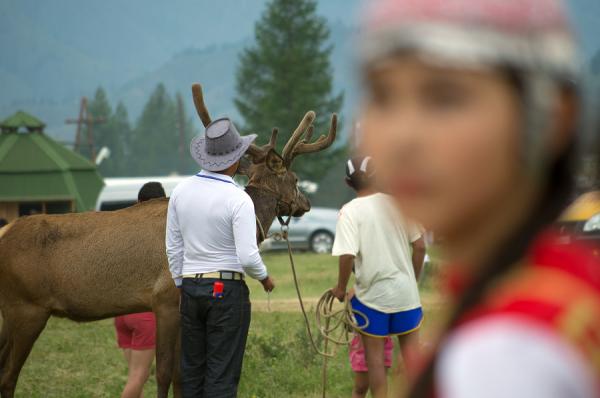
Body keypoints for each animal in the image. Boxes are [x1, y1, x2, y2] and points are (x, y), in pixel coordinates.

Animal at [0, 82, 338, 396]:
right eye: (295, 178)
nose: (306, 203)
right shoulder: (164, 298)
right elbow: (164, 373)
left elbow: (180, 374)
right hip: (26, 308)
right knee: (8, 374)